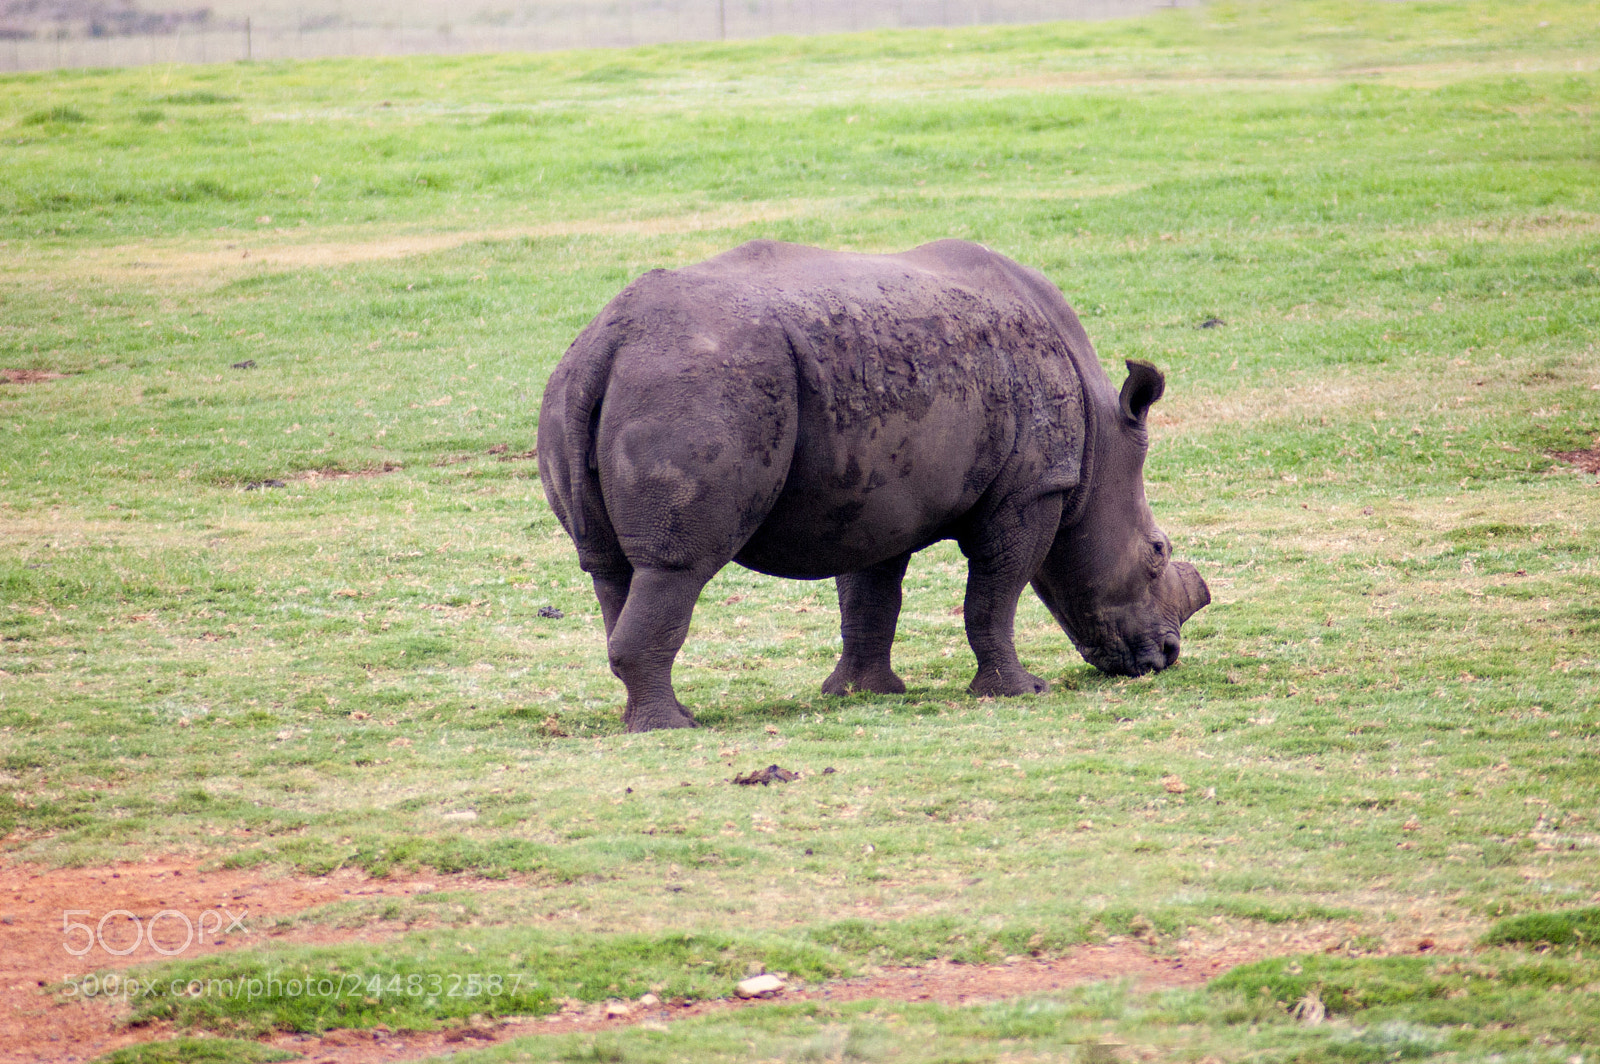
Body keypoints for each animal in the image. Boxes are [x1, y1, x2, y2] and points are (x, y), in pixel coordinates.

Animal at [537, 239, 1209, 732]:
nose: (1166, 659)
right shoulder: (1034, 488)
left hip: (581, 385)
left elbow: (870, 594)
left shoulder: (877, 493)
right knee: (677, 567)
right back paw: (673, 727)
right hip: (697, 384)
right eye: (1157, 552)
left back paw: (658, 714)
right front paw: (1020, 692)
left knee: (610, 568)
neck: (1100, 439)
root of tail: (610, 341)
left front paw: (864, 693)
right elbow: (995, 594)